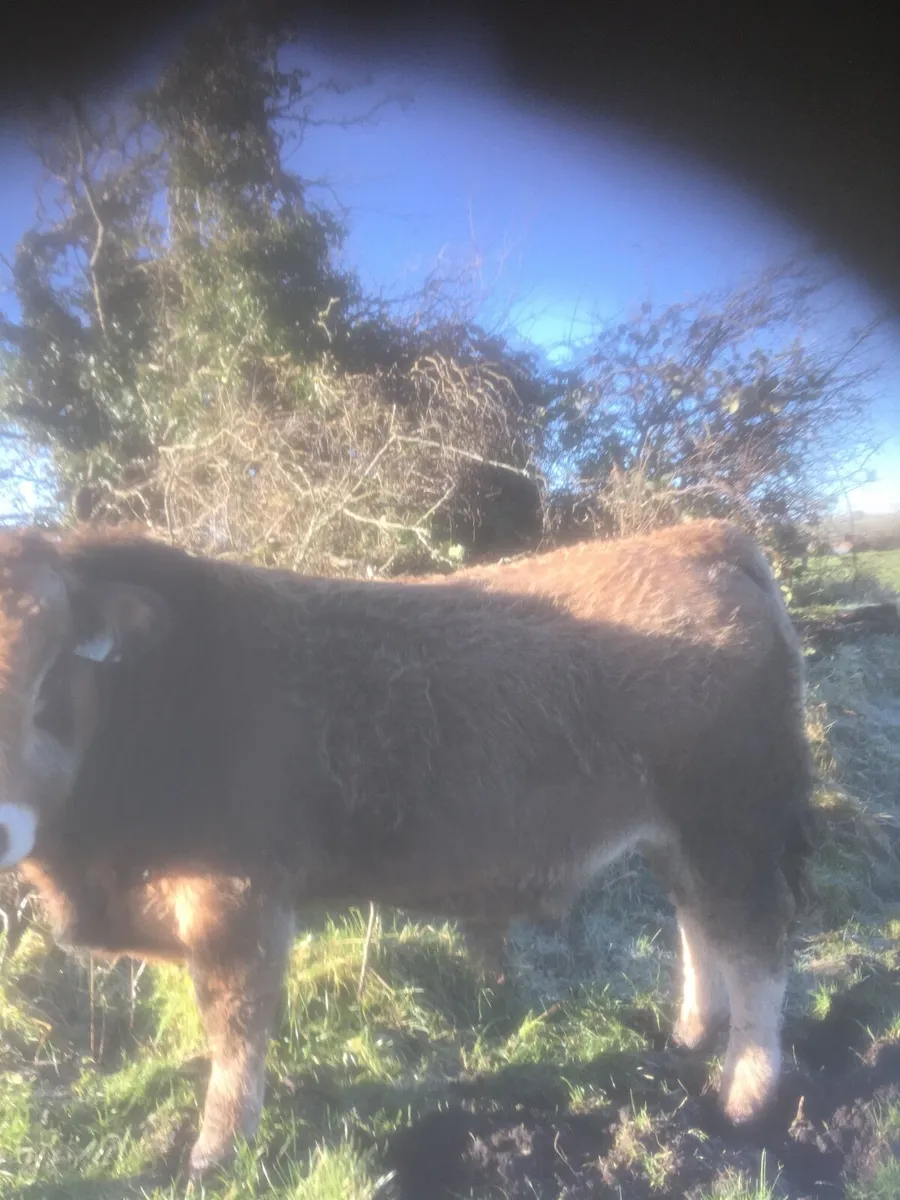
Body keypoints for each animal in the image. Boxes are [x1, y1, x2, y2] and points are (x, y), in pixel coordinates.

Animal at [0, 520, 812, 1176]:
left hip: (729, 820)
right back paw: (689, 1035)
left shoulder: (238, 901)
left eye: (46, 681)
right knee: (699, 921)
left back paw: (743, 1095)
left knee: (755, 941)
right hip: (676, 831)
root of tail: (693, 535)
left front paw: (216, 1152)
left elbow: (234, 1026)